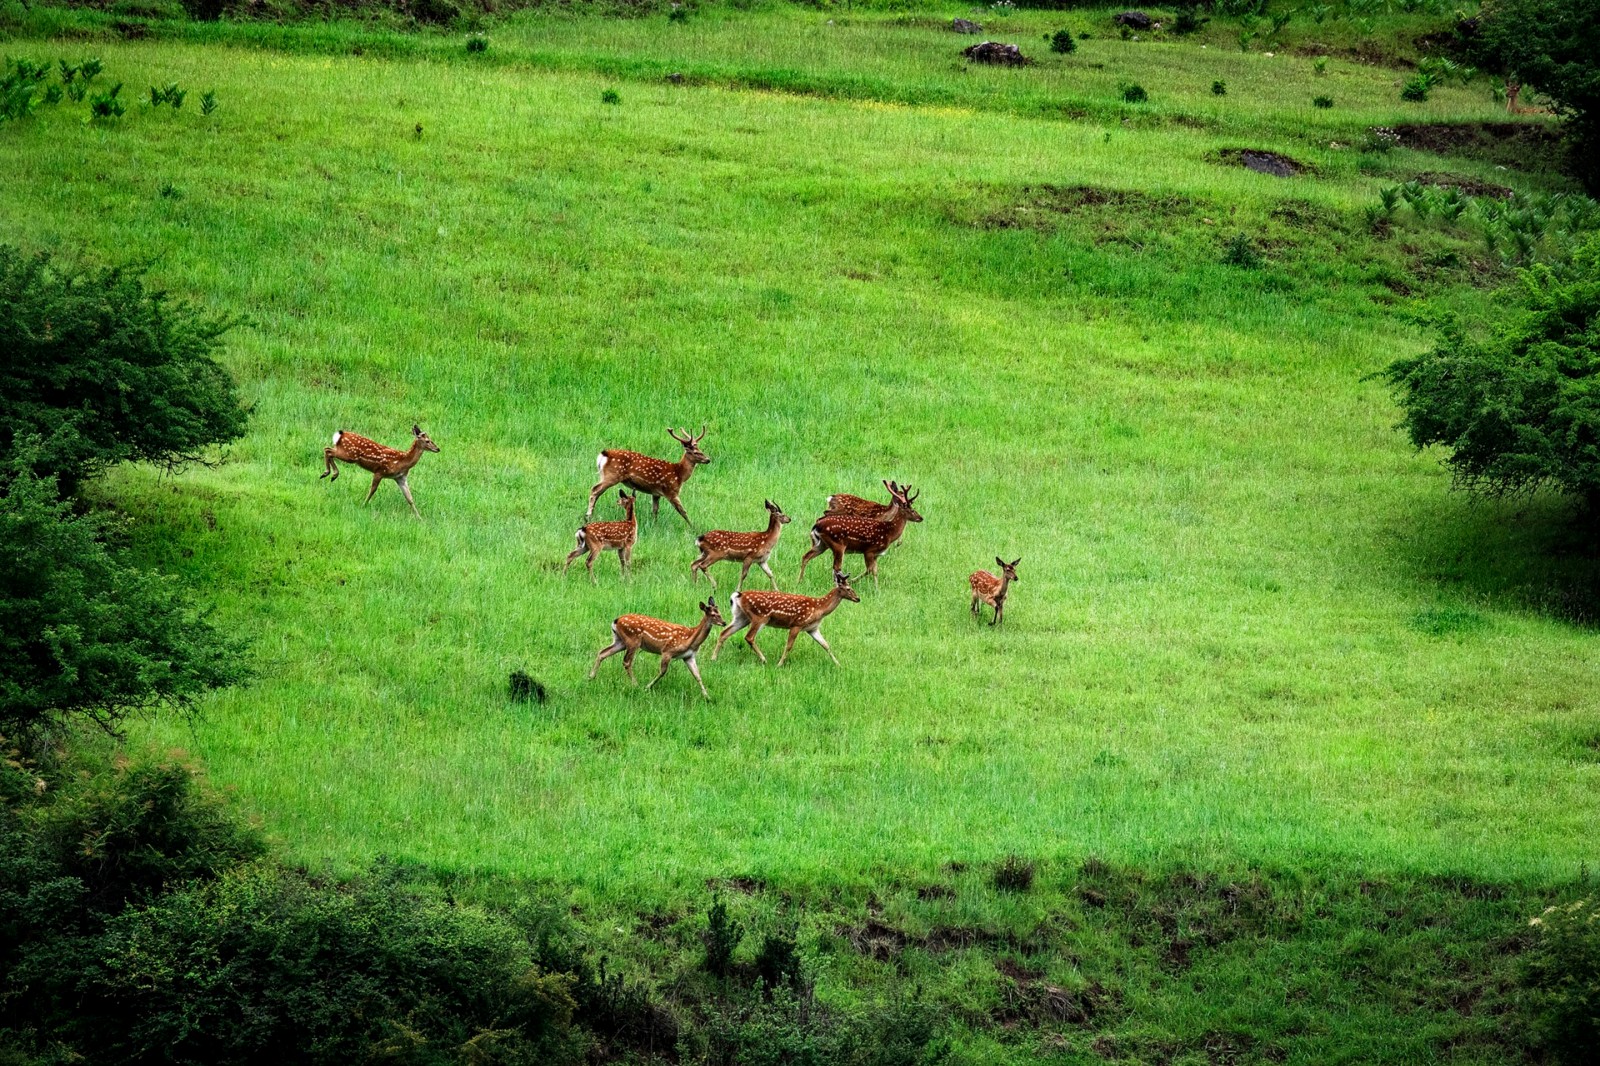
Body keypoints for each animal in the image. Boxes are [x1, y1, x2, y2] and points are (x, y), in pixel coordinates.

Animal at [589, 598, 727, 698]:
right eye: (713, 614)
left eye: (720, 612)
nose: (724, 622)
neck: (689, 638)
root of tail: (616, 621)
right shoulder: (667, 651)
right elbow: (663, 671)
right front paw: (647, 687)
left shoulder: (689, 656)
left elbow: (697, 675)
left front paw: (707, 697)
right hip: (633, 641)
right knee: (626, 662)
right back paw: (636, 684)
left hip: (620, 641)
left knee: (603, 652)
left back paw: (591, 677)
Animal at [712, 569, 860, 666]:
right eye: (848, 588)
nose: (858, 598)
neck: (819, 608)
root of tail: (739, 595)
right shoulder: (797, 624)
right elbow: (789, 646)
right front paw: (779, 664)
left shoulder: (812, 628)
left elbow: (826, 645)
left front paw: (838, 664)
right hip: (760, 617)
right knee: (749, 637)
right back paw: (764, 659)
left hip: (741, 617)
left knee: (724, 633)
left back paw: (713, 658)